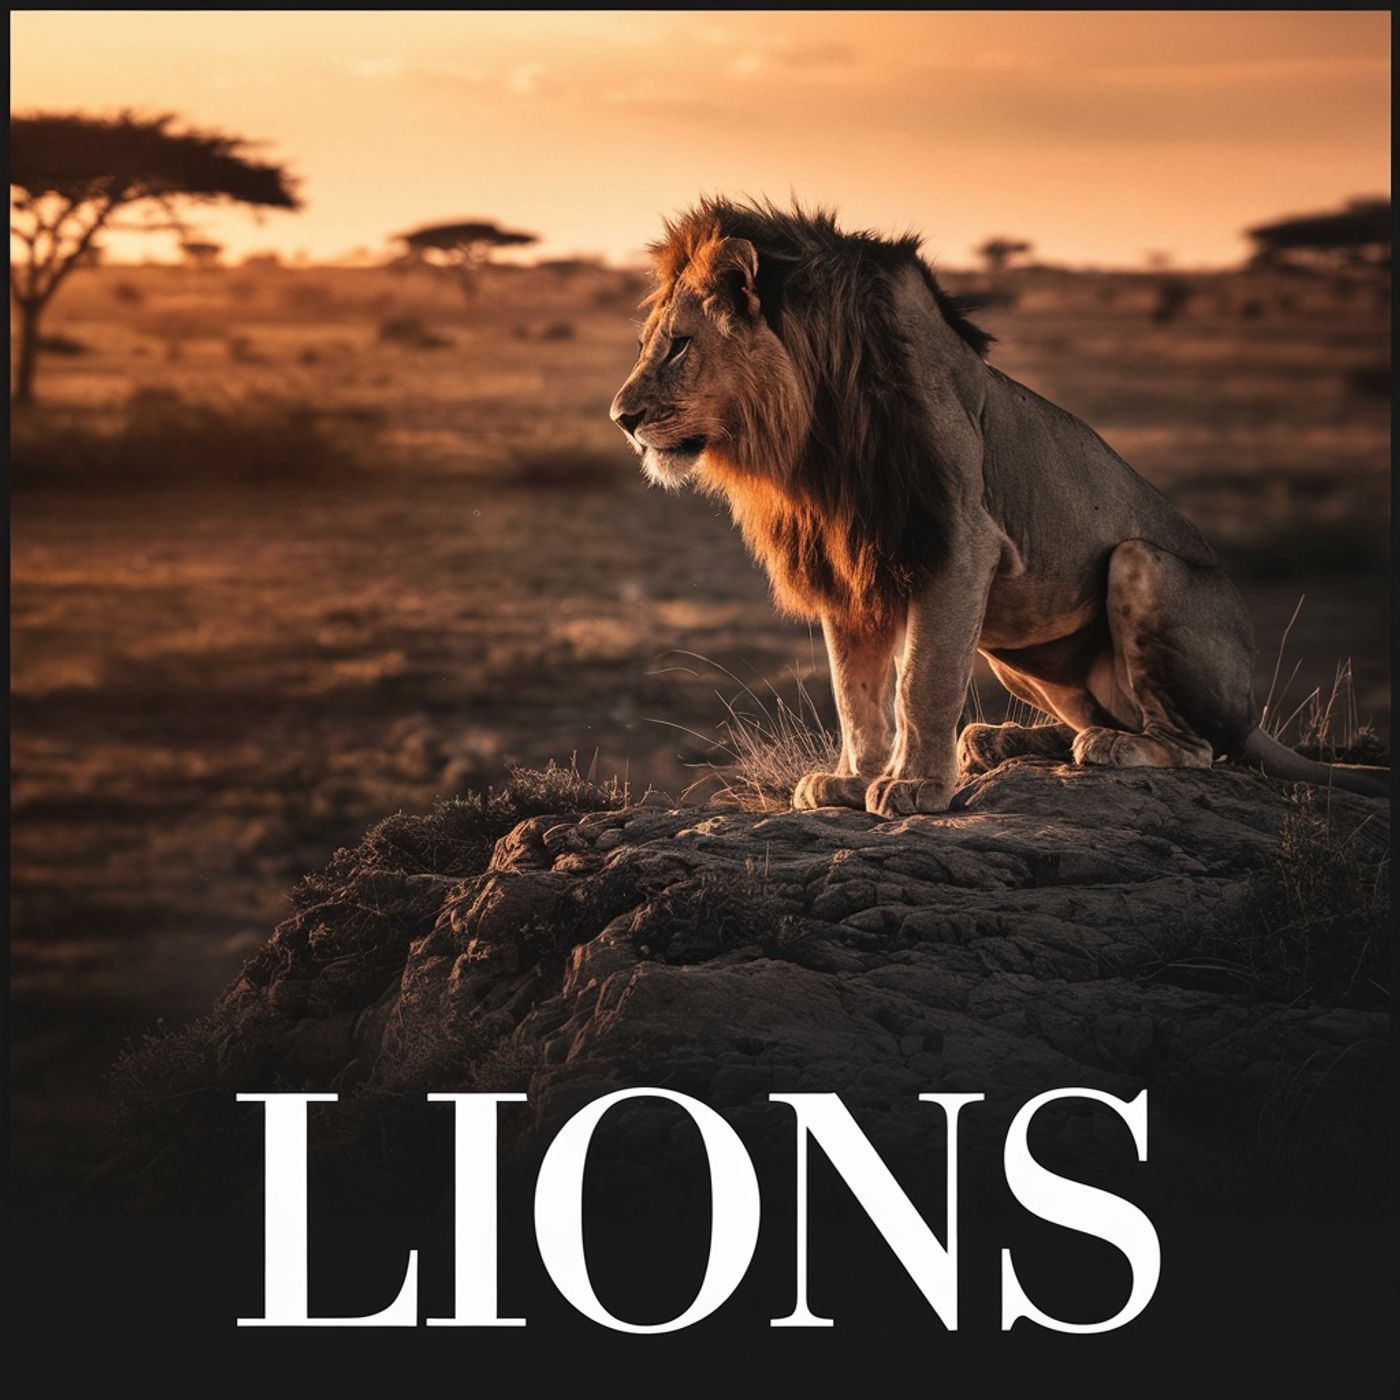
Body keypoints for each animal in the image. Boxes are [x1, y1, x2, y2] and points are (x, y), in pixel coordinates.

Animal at [610, 198, 1389, 814]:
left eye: (677, 347)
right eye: (648, 344)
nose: (621, 417)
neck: (813, 435)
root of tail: (1251, 711)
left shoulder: (957, 541)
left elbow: (921, 680)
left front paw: (914, 787)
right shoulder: (849, 560)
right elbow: (855, 690)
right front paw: (850, 780)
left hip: (1139, 567)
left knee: (1194, 745)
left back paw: (1107, 748)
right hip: (1017, 648)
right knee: (1099, 714)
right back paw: (1003, 740)